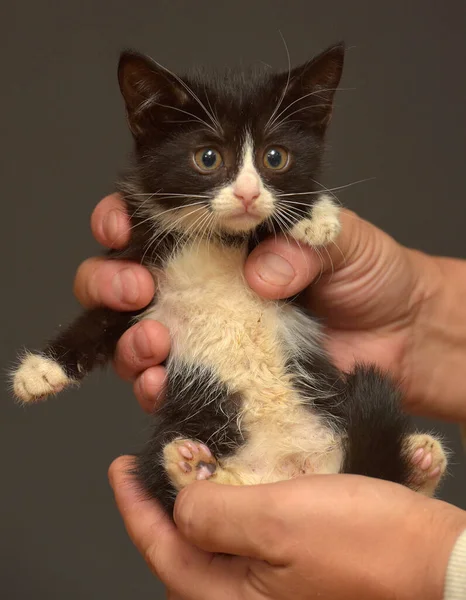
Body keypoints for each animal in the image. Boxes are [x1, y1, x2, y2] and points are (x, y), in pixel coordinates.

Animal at [12, 43, 446, 510]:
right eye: (208, 158)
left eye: (275, 157)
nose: (248, 193)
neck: (215, 240)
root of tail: (291, 470)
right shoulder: (140, 270)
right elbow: (105, 315)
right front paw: (40, 370)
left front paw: (315, 218)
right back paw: (191, 467)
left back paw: (421, 460)